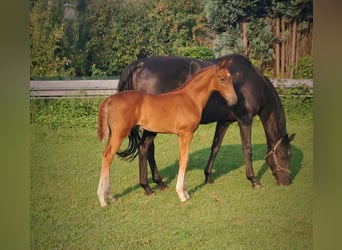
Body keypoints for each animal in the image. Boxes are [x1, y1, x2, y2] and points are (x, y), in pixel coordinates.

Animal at [97, 59, 238, 206]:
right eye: (222, 78)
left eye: (231, 78)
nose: (234, 100)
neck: (190, 99)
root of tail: (109, 99)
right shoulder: (186, 134)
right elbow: (184, 159)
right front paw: (181, 194)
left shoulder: (185, 135)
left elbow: (184, 159)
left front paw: (186, 192)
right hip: (120, 133)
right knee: (108, 157)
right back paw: (103, 199)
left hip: (114, 134)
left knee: (106, 155)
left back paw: (110, 195)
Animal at [117, 54, 294, 195]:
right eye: (285, 155)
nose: (286, 181)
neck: (250, 82)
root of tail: (141, 64)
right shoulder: (245, 120)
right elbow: (247, 149)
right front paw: (253, 180)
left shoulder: (224, 121)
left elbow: (215, 147)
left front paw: (208, 176)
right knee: (144, 148)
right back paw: (147, 186)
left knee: (149, 150)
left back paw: (159, 183)